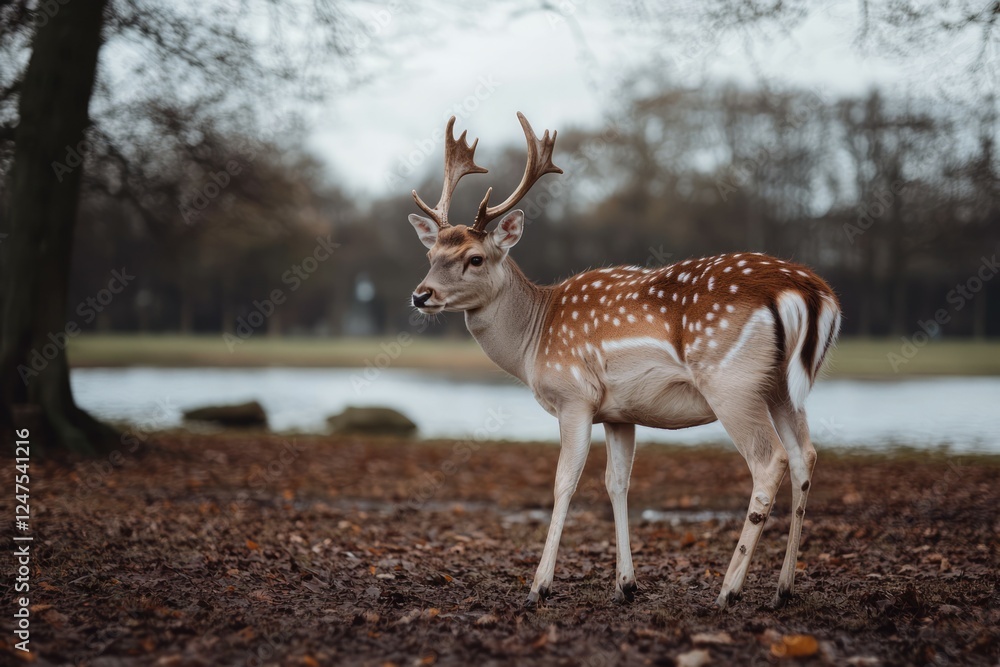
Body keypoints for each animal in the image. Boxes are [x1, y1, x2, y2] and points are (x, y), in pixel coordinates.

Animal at [406, 112, 842, 609]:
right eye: (430, 254)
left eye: (475, 258)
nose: (420, 295)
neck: (533, 340)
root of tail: (812, 293)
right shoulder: (618, 412)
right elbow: (616, 483)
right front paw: (625, 584)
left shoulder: (574, 397)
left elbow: (564, 482)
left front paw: (539, 586)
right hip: (782, 388)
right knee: (806, 455)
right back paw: (783, 589)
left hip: (732, 383)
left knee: (769, 461)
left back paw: (728, 590)